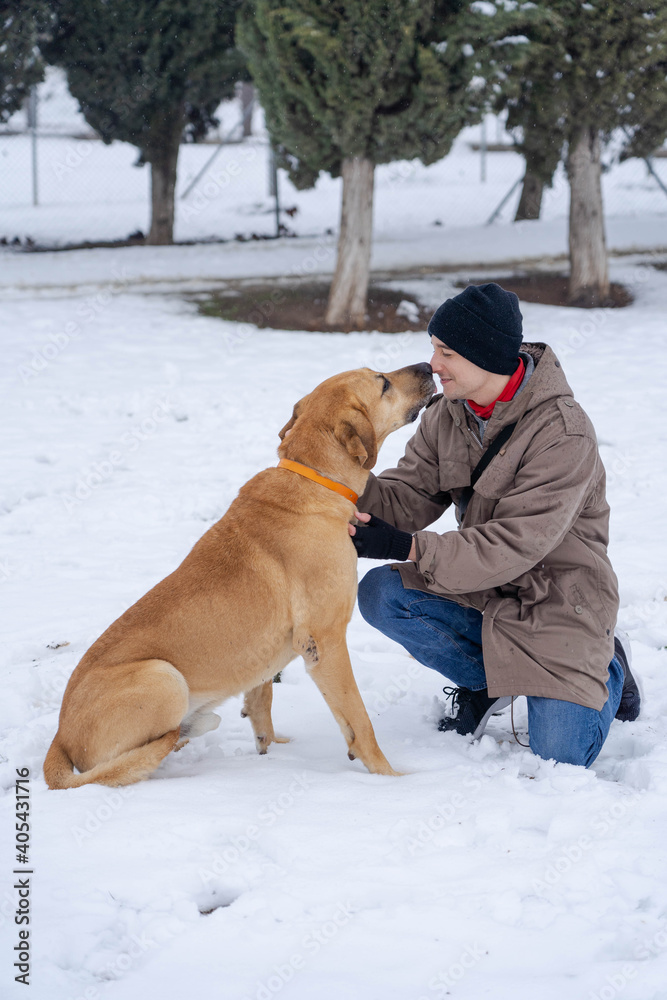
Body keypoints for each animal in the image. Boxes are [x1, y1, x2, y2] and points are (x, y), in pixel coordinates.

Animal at [44, 362, 436, 788]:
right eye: (382, 382)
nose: (428, 366)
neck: (315, 478)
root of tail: (60, 739)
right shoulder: (326, 640)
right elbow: (359, 721)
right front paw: (390, 776)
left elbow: (262, 697)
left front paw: (271, 747)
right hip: (164, 676)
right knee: (135, 760)